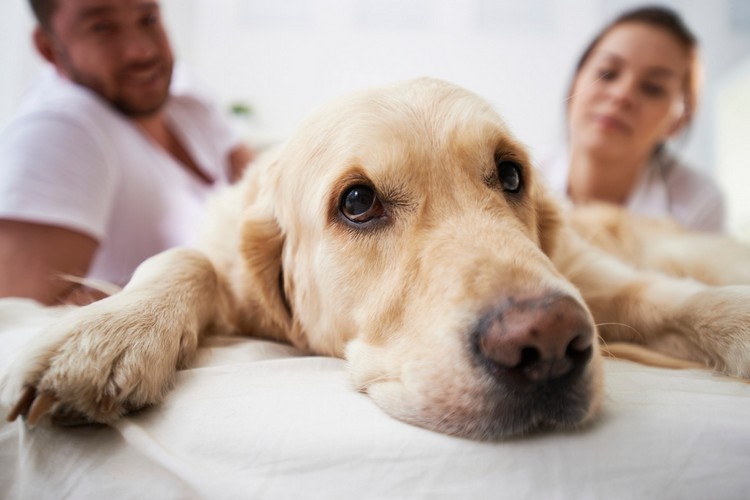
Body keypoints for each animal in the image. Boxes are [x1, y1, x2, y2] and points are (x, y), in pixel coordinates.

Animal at [1, 77, 750, 438]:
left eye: (511, 175)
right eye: (357, 202)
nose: (547, 343)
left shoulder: (594, 275)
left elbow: (670, 298)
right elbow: (184, 259)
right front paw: (107, 331)